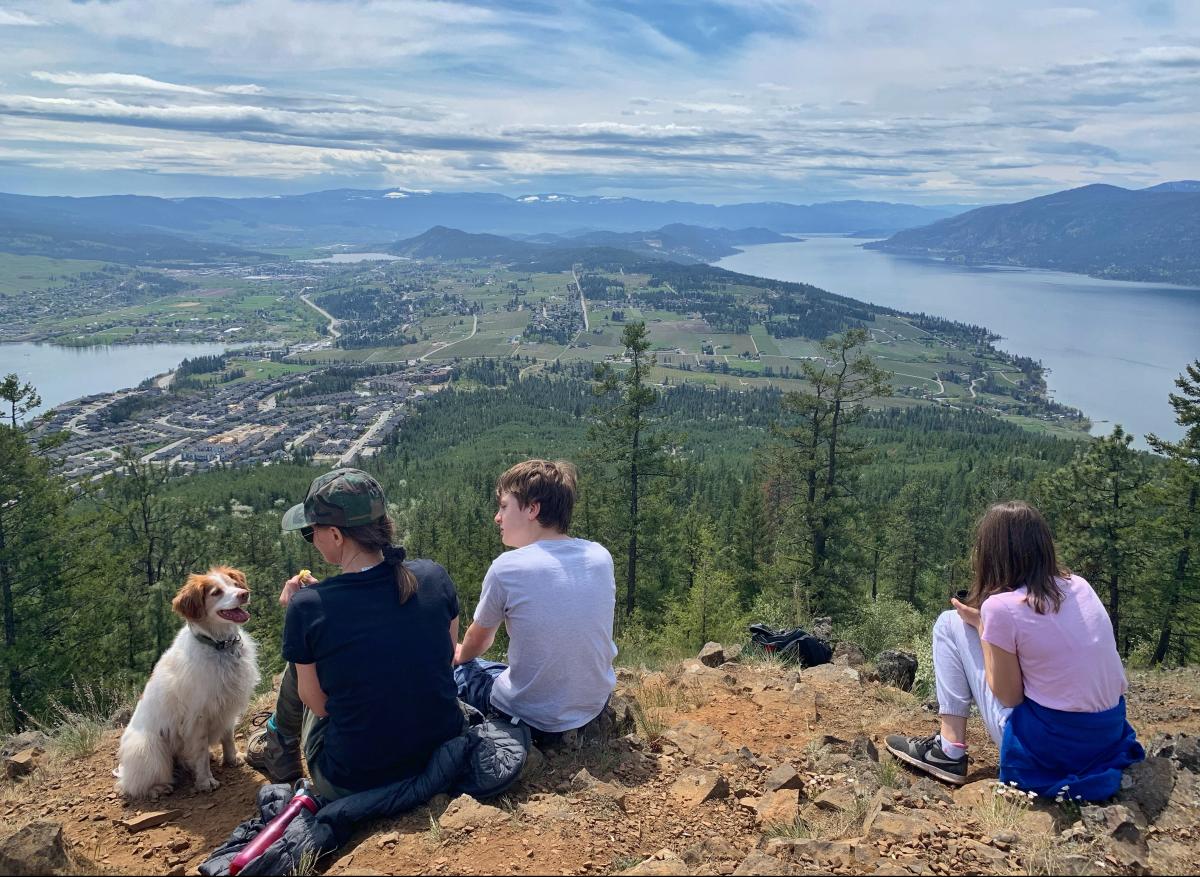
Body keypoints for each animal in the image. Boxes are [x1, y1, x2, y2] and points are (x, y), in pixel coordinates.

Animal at [115, 566, 260, 801]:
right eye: (216, 592)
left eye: (234, 584)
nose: (244, 594)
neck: (220, 646)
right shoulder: (197, 716)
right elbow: (199, 751)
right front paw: (205, 781)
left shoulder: (226, 705)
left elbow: (227, 736)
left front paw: (231, 759)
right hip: (149, 748)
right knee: (132, 786)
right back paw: (157, 788)